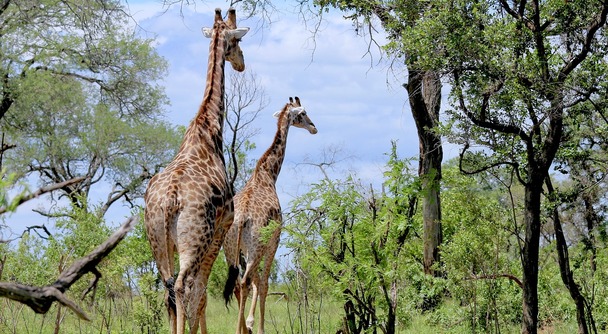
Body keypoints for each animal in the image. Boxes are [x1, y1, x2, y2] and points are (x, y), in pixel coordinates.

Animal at [144, 7, 248, 334]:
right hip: (196, 239)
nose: (241, 64)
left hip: (158, 241)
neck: (208, 128)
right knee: (183, 285)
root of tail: (169, 201)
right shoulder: (222, 226)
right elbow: (201, 293)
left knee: (167, 287)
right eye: (237, 41)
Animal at [223, 96, 318, 334]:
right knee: (246, 282)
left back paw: (241, 328)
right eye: (303, 113)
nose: (314, 127)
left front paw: (249, 324)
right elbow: (264, 283)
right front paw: (258, 327)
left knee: (238, 284)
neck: (268, 173)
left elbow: (258, 282)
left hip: (230, 248)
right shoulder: (275, 240)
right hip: (256, 247)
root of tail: (240, 220)